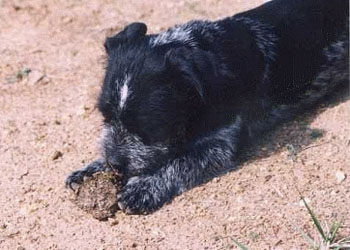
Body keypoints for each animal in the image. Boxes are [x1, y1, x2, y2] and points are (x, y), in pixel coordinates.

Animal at [65, 0, 348, 215]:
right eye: (105, 116)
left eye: (150, 128)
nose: (114, 163)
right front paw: (91, 168)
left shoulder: (219, 145)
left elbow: (180, 162)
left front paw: (143, 187)